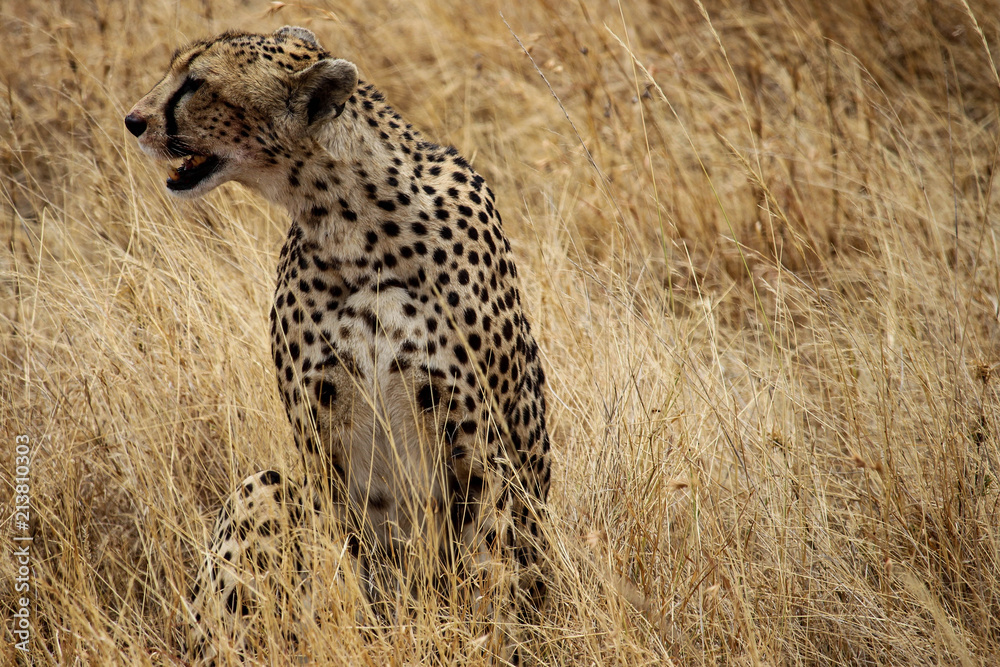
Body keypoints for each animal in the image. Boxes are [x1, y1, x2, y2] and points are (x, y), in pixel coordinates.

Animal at [125, 26, 552, 664]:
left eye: (197, 83)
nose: (133, 120)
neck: (353, 222)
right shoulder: (319, 440)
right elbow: (341, 562)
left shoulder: (480, 441)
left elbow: (491, 565)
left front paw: (486, 642)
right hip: (269, 487)